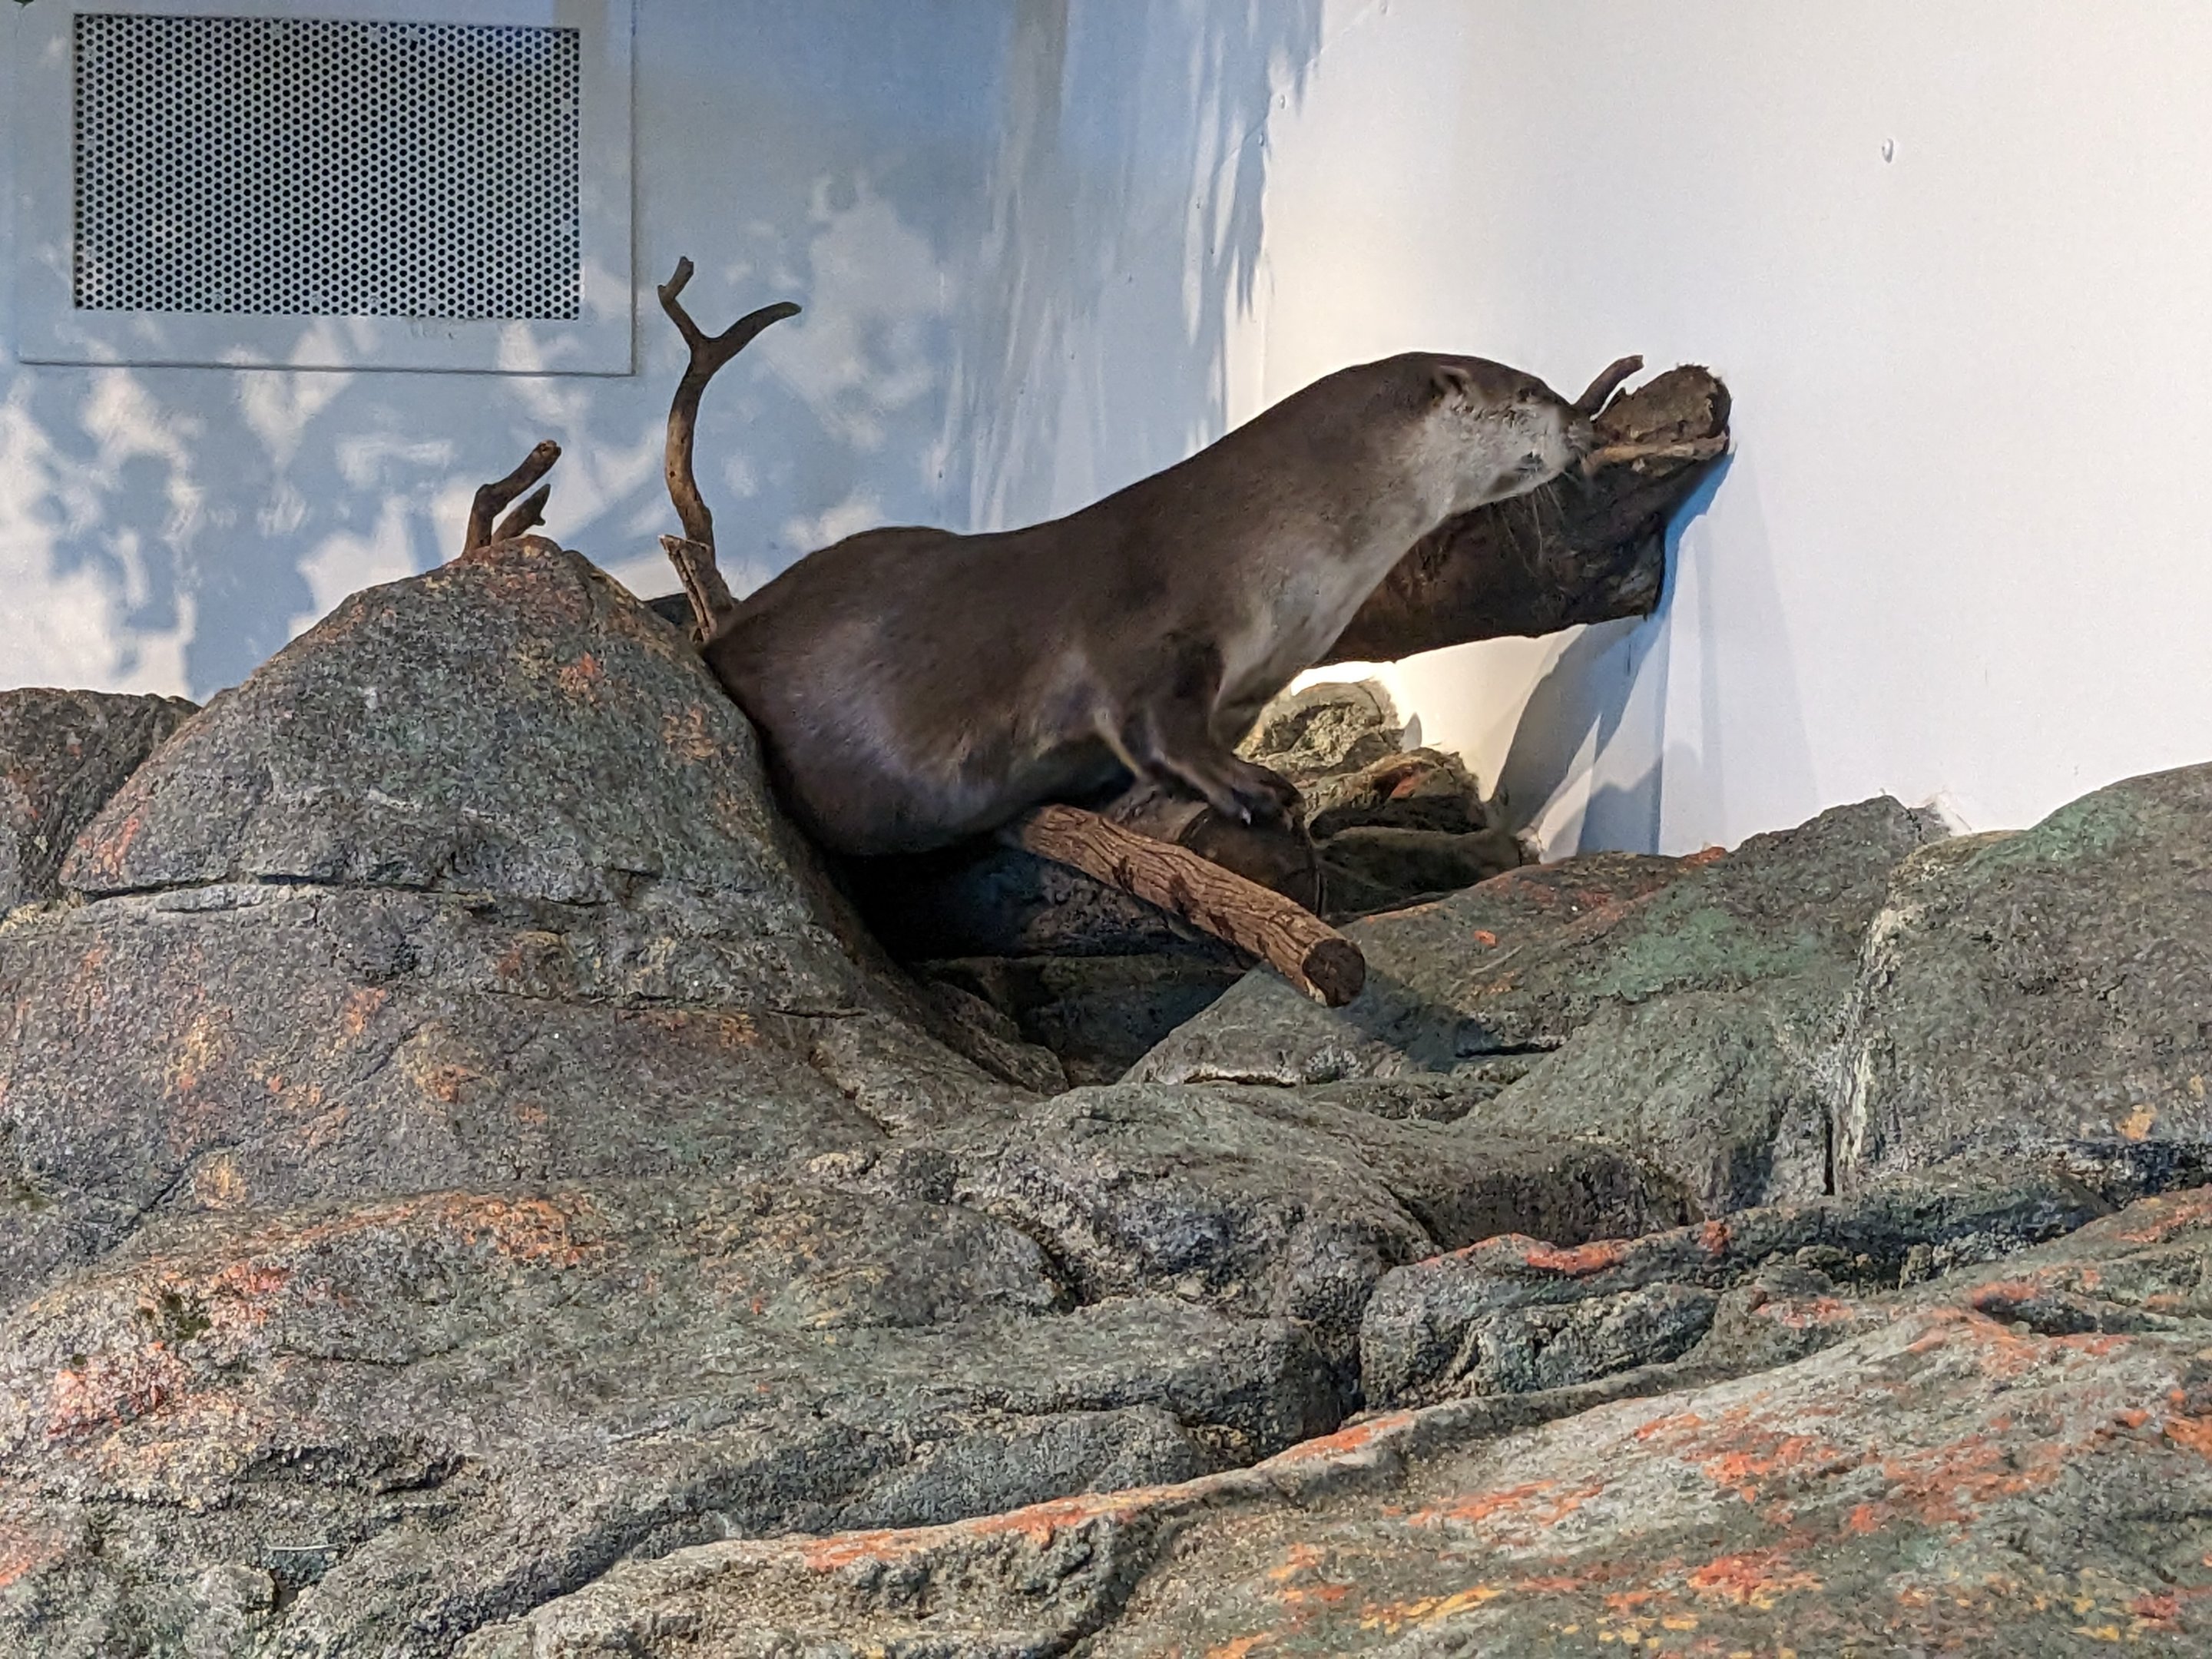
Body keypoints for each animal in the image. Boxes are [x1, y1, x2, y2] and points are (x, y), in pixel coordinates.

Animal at [702, 352, 1598, 857]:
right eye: (1531, 389)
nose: (1583, 424)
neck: (1271, 526)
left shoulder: (1255, 675)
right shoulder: (1147, 622)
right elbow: (1151, 721)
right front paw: (1251, 786)